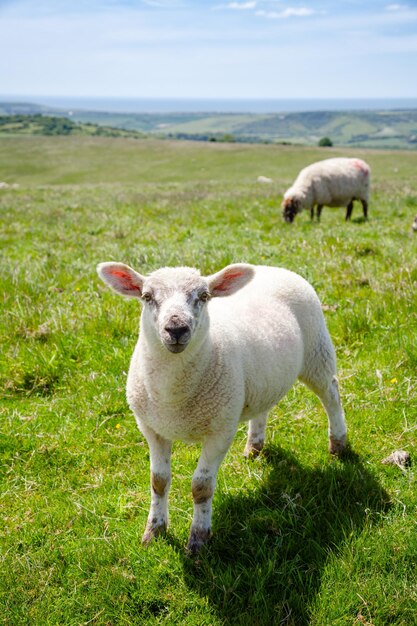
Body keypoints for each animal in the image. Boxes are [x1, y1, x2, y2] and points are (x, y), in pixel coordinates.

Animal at [96, 258, 346, 552]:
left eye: (203, 296)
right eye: (147, 297)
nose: (176, 329)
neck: (173, 397)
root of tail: (273, 267)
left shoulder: (221, 431)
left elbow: (201, 487)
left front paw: (199, 539)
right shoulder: (151, 428)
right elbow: (159, 481)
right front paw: (154, 531)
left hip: (317, 352)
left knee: (331, 394)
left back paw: (339, 443)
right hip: (260, 379)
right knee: (263, 408)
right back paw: (254, 447)